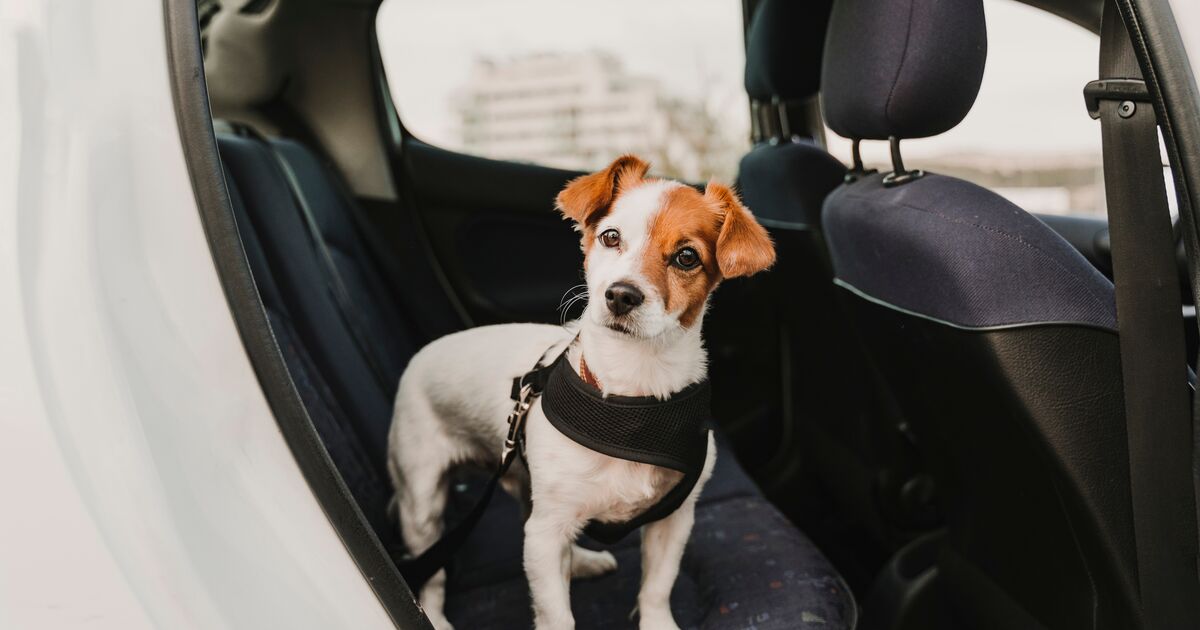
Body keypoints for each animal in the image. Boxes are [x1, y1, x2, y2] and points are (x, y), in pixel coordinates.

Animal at [386, 153, 777, 628]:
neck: (630, 397)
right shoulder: (546, 530)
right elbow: (557, 615)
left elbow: (657, 587)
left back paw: (583, 562)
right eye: (611, 236)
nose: (621, 295)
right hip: (422, 503)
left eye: (687, 257)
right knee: (432, 572)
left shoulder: (673, 519)